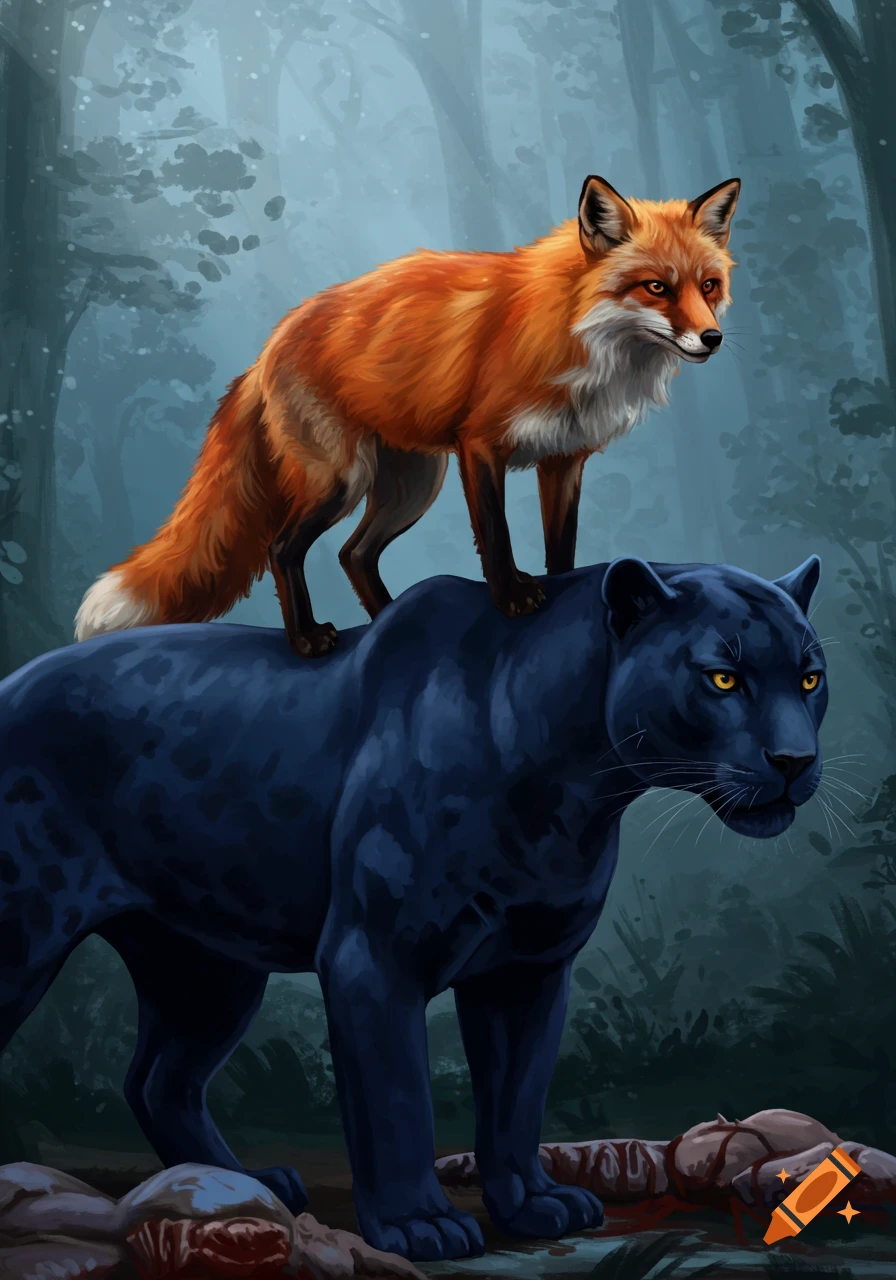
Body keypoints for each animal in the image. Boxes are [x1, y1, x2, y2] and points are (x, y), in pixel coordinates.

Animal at [75, 174, 740, 657]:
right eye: (656, 288)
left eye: (708, 285)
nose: (712, 339)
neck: (573, 332)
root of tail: (272, 341)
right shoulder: (480, 445)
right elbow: (495, 536)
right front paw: (511, 598)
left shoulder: (563, 459)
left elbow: (563, 553)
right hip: (342, 481)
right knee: (283, 548)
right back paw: (308, 638)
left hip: (411, 486)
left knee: (354, 554)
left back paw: (390, 621)